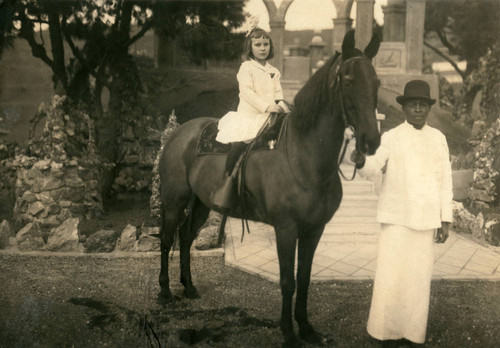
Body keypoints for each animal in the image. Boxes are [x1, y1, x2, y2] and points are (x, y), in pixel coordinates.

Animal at [158, 31, 380, 346]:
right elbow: (287, 281)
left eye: (377, 83)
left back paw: (189, 287)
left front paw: (306, 328)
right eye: (348, 81)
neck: (302, 156)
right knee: (167, 240)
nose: (371, 141)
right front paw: (288, 332)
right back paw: (165, 292)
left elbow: (304, 278)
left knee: (186, 239)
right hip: (174, 201)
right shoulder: (286, 229)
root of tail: (179, 132)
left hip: (201, 203)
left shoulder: (314, 229)